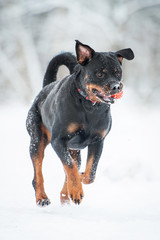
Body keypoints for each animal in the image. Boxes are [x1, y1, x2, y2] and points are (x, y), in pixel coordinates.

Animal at [26, 39, 134, 206]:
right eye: (99, 73)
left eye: (118, 72)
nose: (116, 86)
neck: (89, 107)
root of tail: (45, 90)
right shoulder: (58, 141)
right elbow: (70, 167)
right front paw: (76, 189)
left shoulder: (98, 141)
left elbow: (90, 173)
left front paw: (79, 182)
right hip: (37, 140)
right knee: (38, 174)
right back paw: (42, 198)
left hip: (74, 151)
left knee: (72, 167)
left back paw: (66, 195)